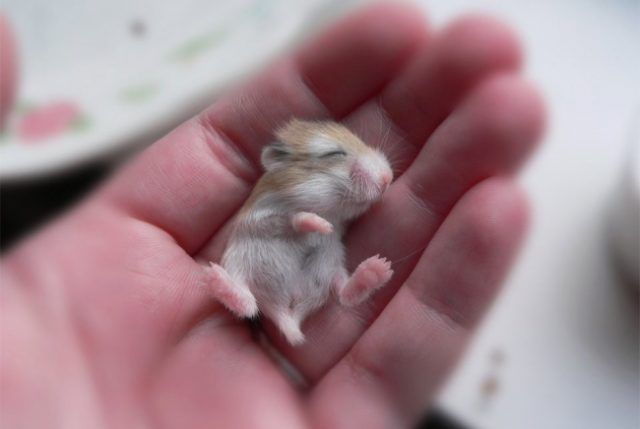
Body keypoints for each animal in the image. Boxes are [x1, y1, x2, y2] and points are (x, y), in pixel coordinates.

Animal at [206, 119, 394, 345]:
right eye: (334, 153)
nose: (388, 178)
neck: (329, 211)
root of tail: (288, 315)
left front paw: (325, 228)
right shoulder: (261, 219)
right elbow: (294, 218)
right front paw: (322, 225)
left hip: (330, 268)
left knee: (344, 294)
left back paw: (378, 268)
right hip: (237, 263)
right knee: (247, 303)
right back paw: (214, 276)